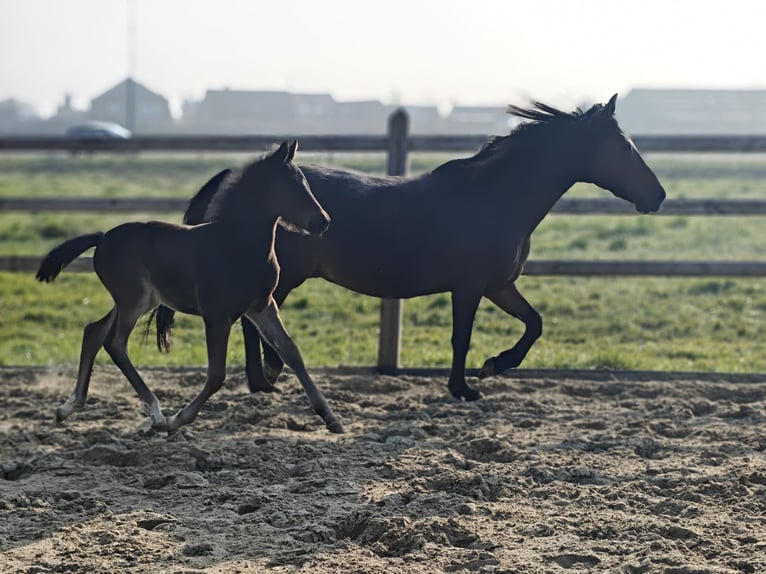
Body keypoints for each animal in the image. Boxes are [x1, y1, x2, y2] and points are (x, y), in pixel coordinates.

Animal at [35, 140, 344, 435]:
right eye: (292, 185)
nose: (324, 221)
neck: (238, 244)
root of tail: (102, 238)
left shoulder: (261, 305)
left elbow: (291, 352)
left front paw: (331, 418)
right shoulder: (217, 315)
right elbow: (217, 374)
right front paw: (178, 420)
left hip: (136, 300)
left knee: (94, 332)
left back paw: (68, 407)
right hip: (134, 300)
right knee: (115, 343)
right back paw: (157, 414)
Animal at [155, 95, 666, 401]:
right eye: (624, 147)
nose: (658, 196)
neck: (493, 198)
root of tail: (232, 179)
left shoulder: (499, 285)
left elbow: (535, 324)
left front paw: (494, 366)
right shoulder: (469, 287)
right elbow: (461, 337)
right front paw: (465, 386)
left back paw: (264, 380)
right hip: (282, 277)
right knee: (253, 321)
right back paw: (266, 377)